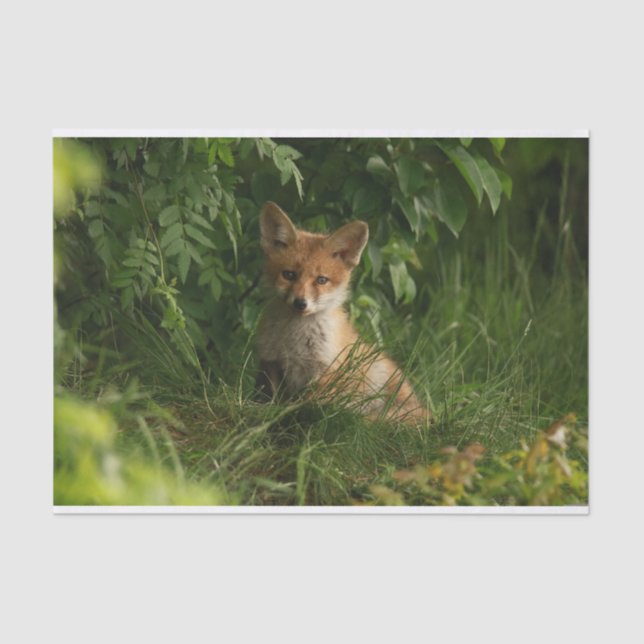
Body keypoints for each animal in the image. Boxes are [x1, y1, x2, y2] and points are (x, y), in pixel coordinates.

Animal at [254, 202, 429, 425]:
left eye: (321, 280)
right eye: (289, 275)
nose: (301, 303)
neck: (295, 340)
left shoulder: (327, 370)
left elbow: (307, 404)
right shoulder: (271, 362)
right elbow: (270, 398)